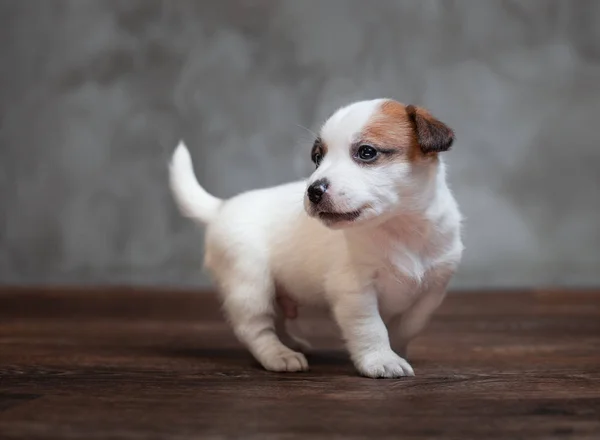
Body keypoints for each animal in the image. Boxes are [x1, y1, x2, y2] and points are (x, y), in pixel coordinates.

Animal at [169, 99, 464, 378]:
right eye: (317, 157)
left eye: (366, 152)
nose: (313, 191)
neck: (398, 226)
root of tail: (221, 208)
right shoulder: (355, 291)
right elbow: (371, 328)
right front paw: (382, 359)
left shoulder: (432, 291)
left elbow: (409, 325)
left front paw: (397, 350)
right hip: (250, 286)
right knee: (255, 329)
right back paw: (279, 355)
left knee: (277, 320)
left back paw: (290, 344)